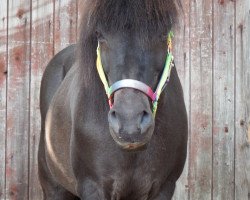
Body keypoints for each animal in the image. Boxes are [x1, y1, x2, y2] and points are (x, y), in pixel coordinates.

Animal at [38, 0, 188, 199]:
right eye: (100, 35)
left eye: (164, 33)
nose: (130, 124)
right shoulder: (92, 187)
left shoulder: (164, 187)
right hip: (53, 187)